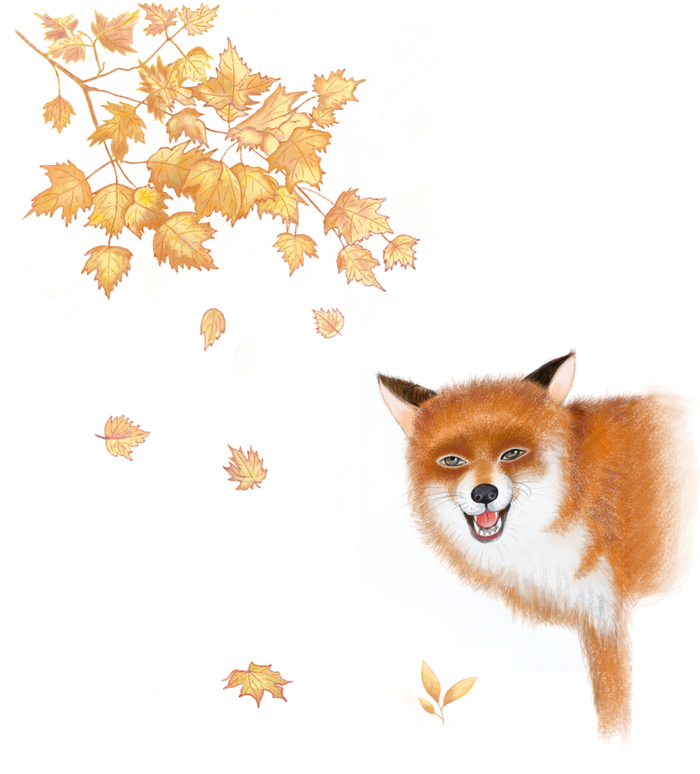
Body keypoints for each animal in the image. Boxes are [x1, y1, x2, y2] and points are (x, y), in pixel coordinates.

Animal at [378, 352, 692, 739]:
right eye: (452, 460)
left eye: (512, 454)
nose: (484, 493)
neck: (573, 498)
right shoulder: (597, 618)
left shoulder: (607, 617)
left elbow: (616, 710)